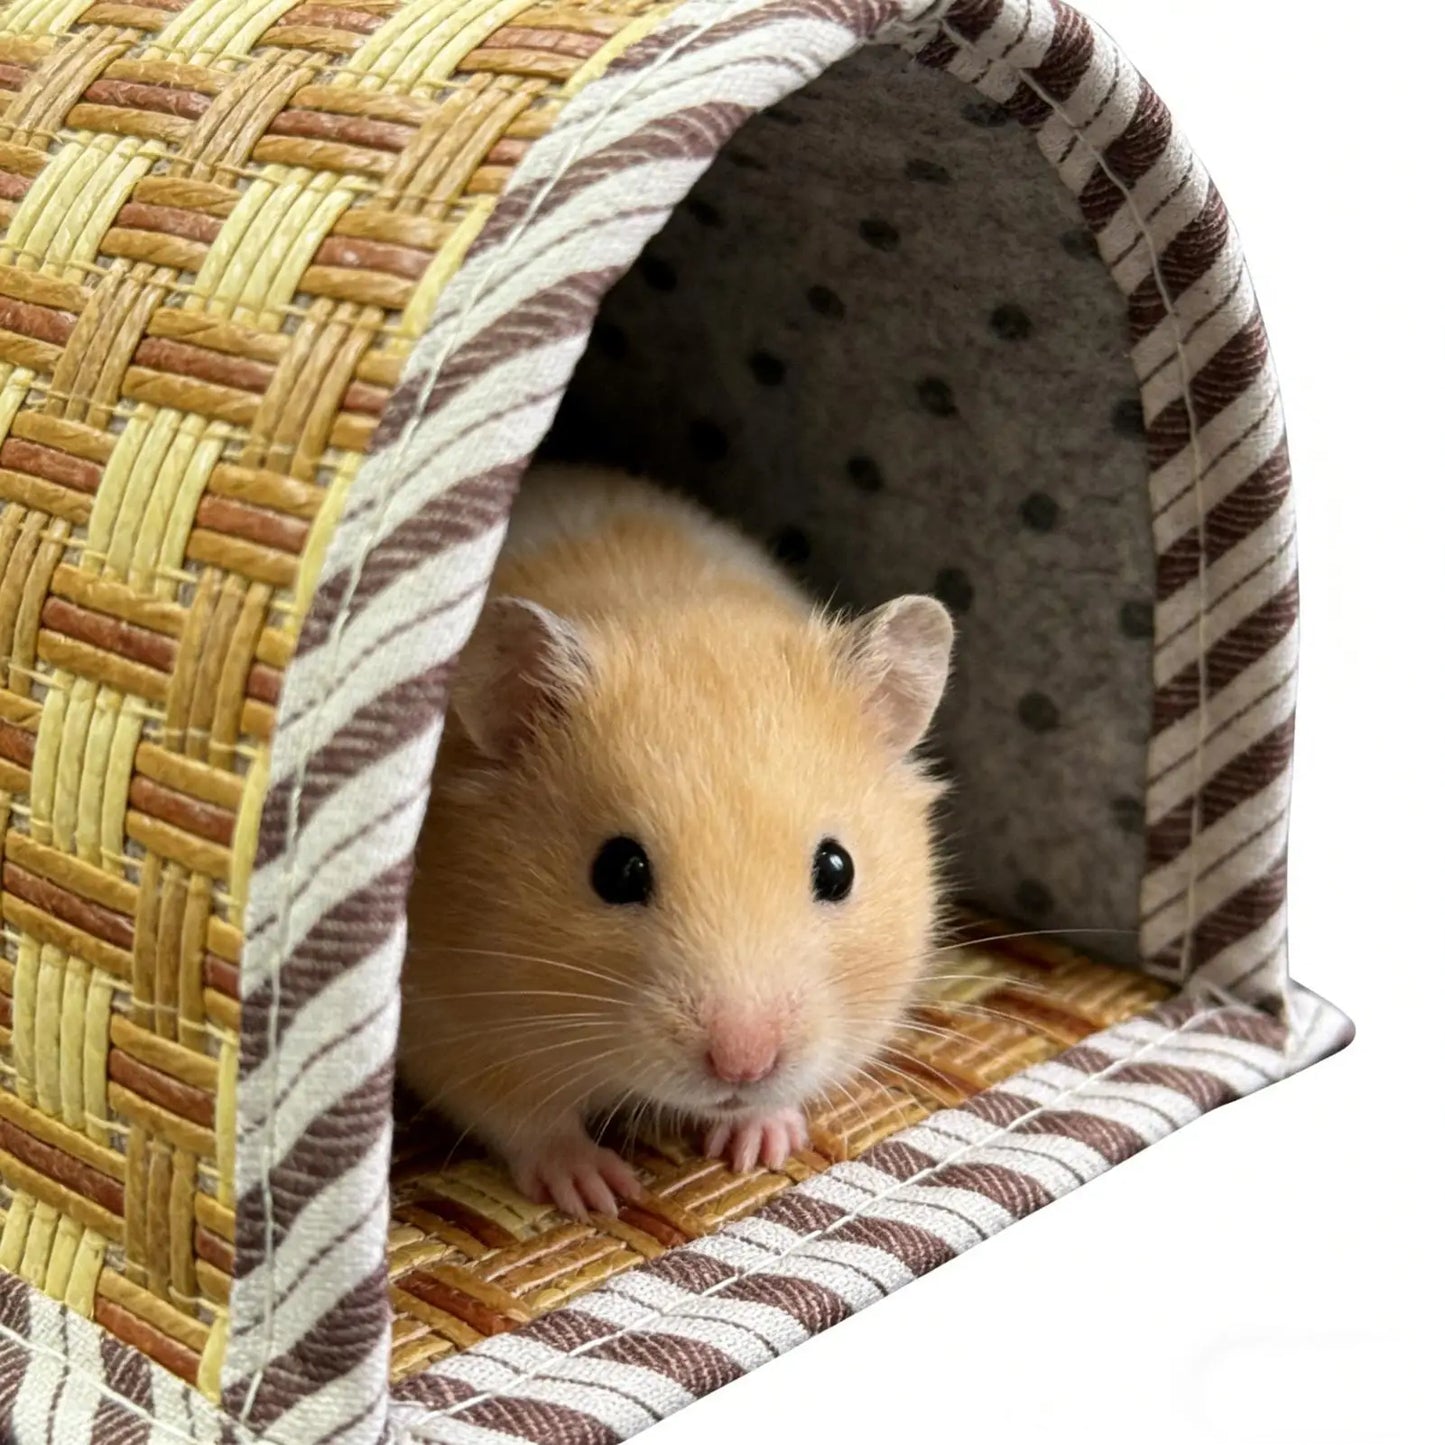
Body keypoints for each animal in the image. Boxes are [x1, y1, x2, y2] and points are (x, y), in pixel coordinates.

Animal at [399, 462, 953, 1218]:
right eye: (617, 871)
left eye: (837, 869)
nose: (743, 1065)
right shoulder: (448, 1020)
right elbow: (528, 1120)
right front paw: (599, 1192)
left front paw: (755, 1147)